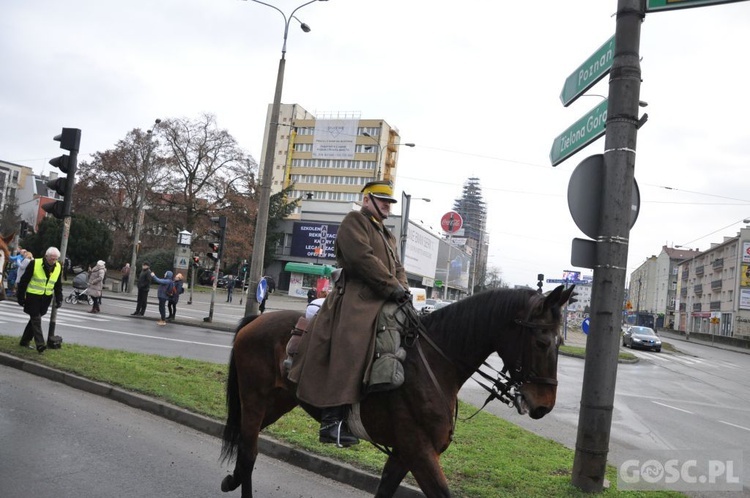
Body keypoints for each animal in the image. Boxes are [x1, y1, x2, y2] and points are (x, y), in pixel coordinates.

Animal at [220, 284, 572, 498]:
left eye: (560, 342)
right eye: (542, 342)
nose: (544, 405)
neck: (435, 362)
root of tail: (255, 321)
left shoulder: (404, 455)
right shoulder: (420, 452)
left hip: (275, 404)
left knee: (247, 447)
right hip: (254, 401)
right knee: (249, 454)